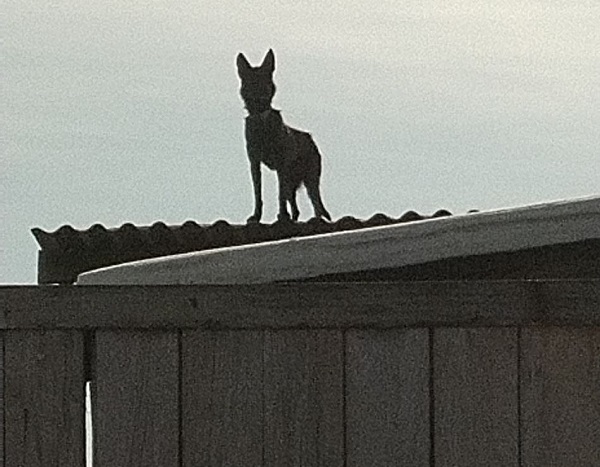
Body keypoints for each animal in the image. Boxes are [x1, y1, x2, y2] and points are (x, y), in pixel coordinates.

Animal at [234, 49, 330, 223]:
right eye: (250, 81)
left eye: (265, 79)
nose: (260, 95)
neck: (261, 121)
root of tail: (311, 139)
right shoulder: (254, 164)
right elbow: (258, 193)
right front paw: (257, 216)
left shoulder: (280, 166)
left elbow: (279, 195)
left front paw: (282, 216)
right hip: (292, 182)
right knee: (296, 207)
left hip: (309, 180)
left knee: (315, 203)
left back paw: (314, 218)